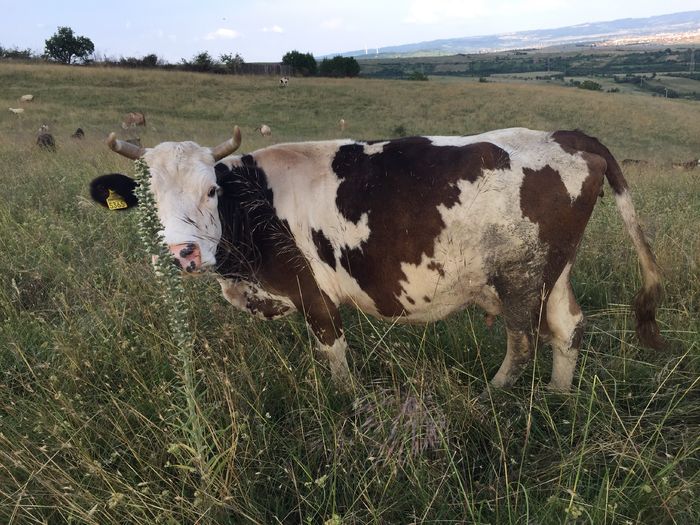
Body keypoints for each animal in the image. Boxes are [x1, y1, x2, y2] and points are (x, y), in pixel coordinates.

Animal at [90, 126, 664, 388]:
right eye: (150, 199)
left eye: (210, 191)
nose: (181, 253)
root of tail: (565, 136)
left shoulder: (311, 292)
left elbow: (334, 355)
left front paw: (344, 402)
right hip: (555, 271)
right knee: (569, 328)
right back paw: (558, 398)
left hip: (521, 277)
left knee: (523, 342)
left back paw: (494, 394)